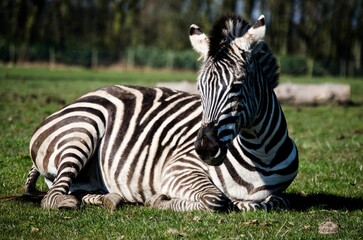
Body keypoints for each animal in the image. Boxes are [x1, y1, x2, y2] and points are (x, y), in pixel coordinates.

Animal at [24, 14, 298, 212]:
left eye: (237, 86)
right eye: (200, 89)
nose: (205, 148)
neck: (260, 154)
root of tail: (78, 100)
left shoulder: (277, 195)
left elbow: (274, 202)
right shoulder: (178, 169)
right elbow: (216, 200)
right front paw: (159, 200)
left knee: (80, 191)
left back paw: (110, 199)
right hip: (82, 131)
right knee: (52, 197)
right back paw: (68, 202)